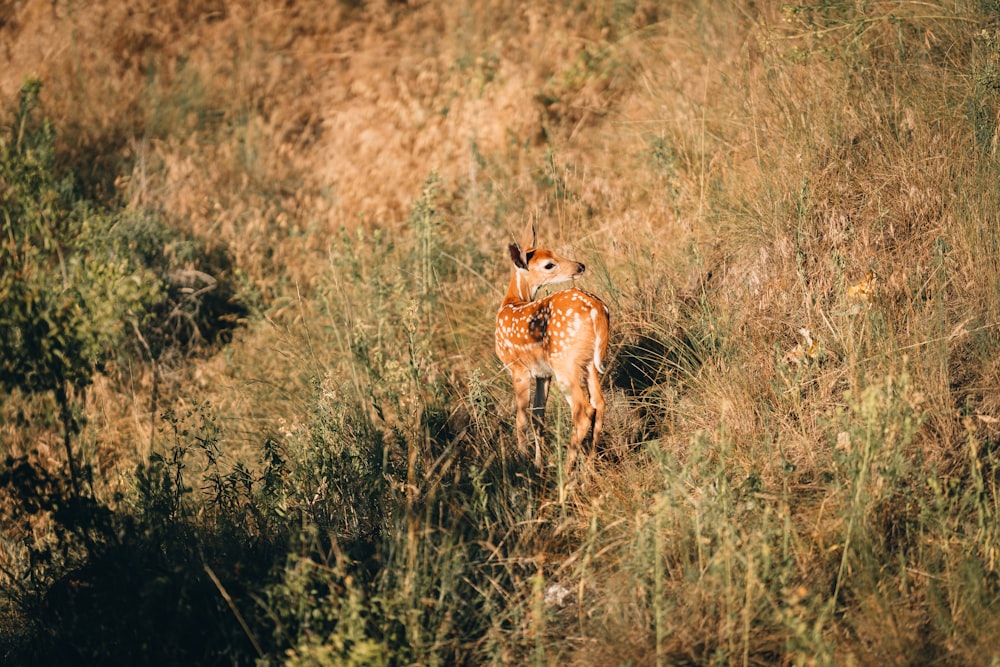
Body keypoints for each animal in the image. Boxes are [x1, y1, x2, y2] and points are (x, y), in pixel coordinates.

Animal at [494, 224, 608, 470]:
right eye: (549, 263)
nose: (580, 266)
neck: (512, 302)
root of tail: (597, 310)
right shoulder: (542, 373)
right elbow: (538, 415)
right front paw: (538, 462)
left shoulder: (518, 367)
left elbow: (521, 418)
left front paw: (523, 462)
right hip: (587, 362)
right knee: (599, 403)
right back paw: (589, 465)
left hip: (564, 362)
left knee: (583, 410)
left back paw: (566, 470)